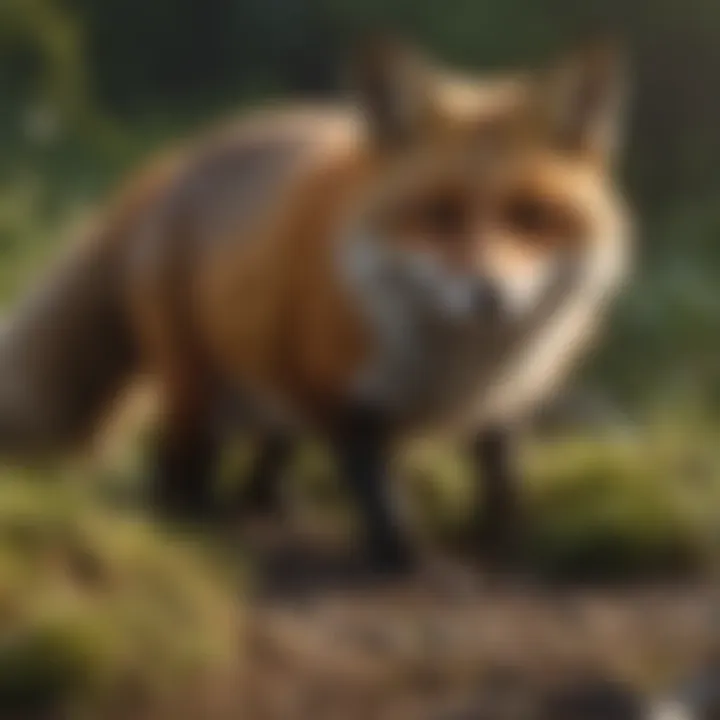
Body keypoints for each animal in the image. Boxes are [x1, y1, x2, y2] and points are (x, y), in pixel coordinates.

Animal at [0, 37, 631, 572]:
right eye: (436, 215)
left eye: (532, 217)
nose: (488, 294)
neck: (455, 370)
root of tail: (174, 162)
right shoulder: (345, 394)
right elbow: (377, 488)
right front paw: (401, 559)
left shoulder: (506, 400)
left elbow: (504, 479)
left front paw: (504, 543)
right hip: (199, 384)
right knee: (178, 462)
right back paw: (191, 523)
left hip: (270, 373)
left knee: (270, 450)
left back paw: (268, 503)